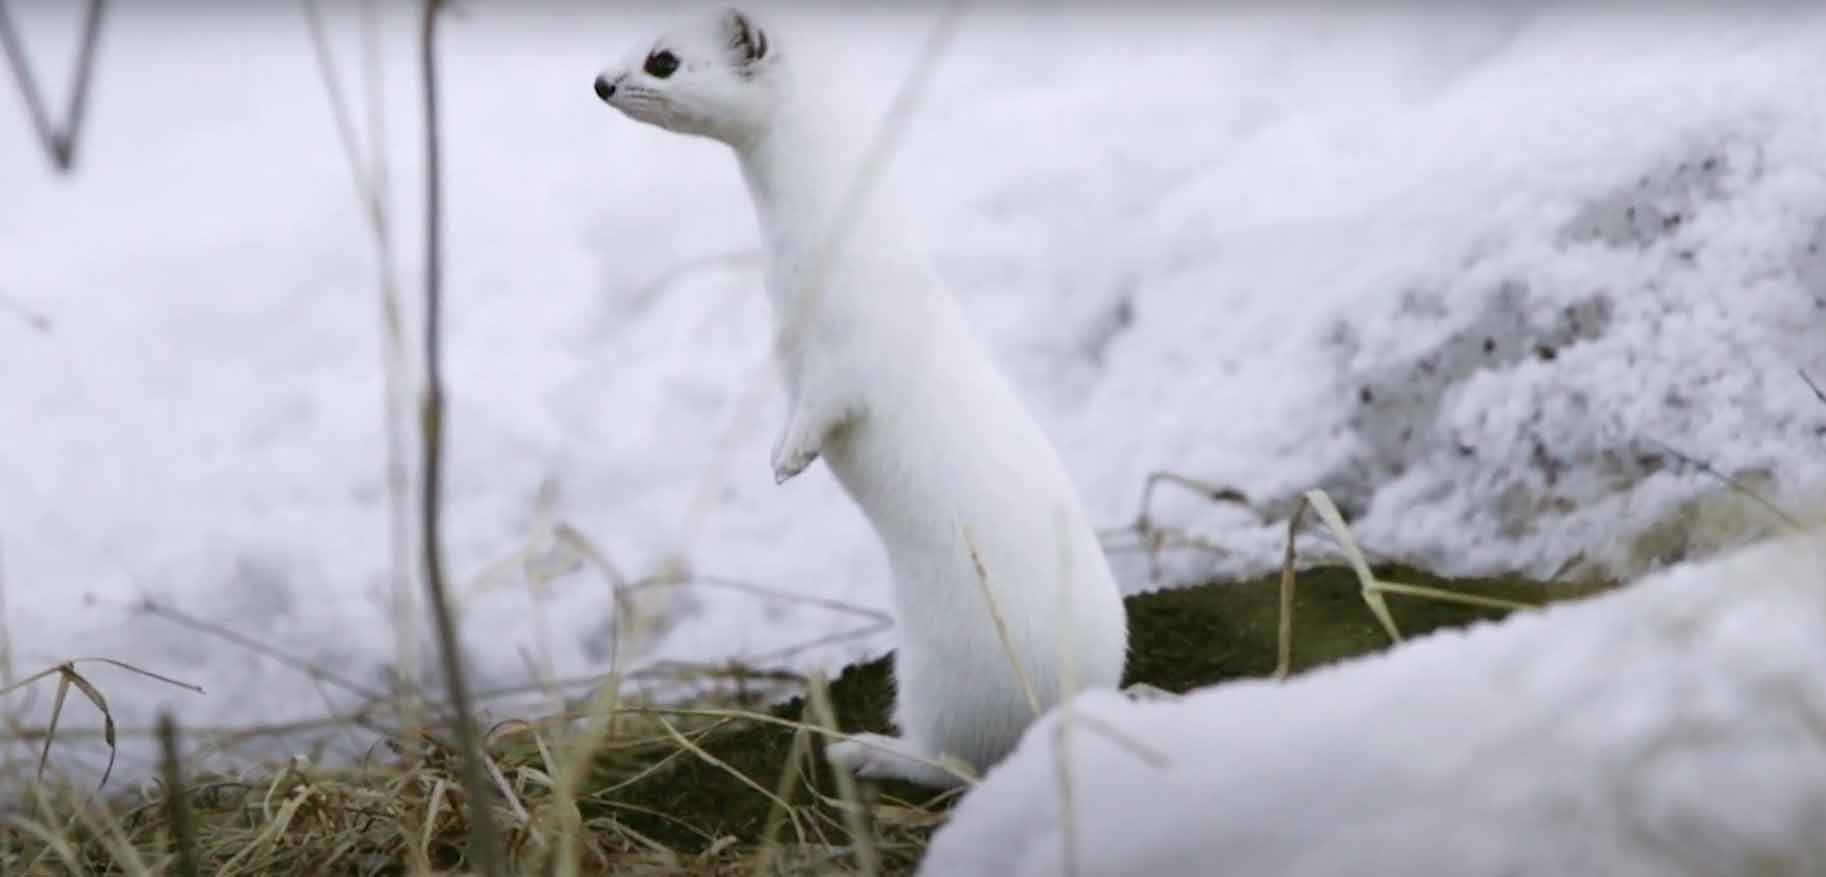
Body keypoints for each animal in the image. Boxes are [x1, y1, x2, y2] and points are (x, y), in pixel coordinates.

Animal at [591, 6, 1124, 789]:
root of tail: (1081, 696)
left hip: (942, 670)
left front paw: (791, 456)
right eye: (636, 36)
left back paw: (867, 750)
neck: (797, 266)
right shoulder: (788, 348)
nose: (600, 81)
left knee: (953, 758)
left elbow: (833, 402)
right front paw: (778, 446)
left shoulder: (852, 342)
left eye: (663, 59)